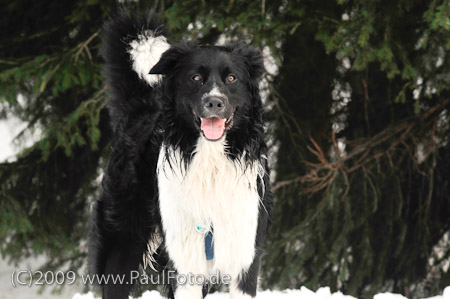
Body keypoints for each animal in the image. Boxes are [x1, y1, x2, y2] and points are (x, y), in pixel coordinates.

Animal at [87, 9, 270, 299]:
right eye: (196, 78)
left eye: (231, 78)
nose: (215, 102)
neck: (211, 160)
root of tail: (140, 112)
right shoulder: (185, 262)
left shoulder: (244, 256)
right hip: (121, 245)